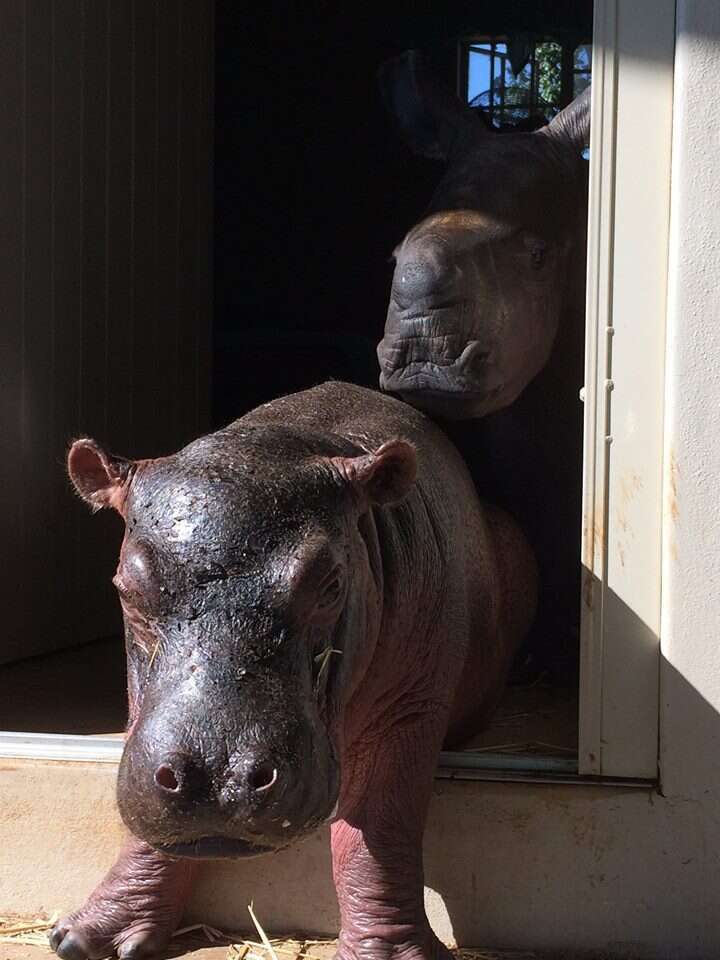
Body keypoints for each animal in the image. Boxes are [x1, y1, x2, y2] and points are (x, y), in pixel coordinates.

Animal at [53, 382, 536, 960]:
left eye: (329, 583)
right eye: (125, 584)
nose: (217, 778)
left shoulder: (410, 705)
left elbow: (378, 828)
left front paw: (387, 956)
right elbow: (150, 830)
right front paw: (83, 939)